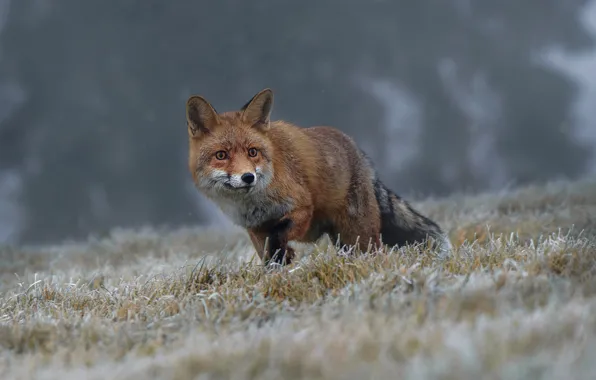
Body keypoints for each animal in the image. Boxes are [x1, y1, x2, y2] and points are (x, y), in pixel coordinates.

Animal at [186, 88, 452, 268]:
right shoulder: (254, 227)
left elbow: (279, 233)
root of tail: (360, 154)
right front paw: (278, 266)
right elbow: (267, 253)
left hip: (359, 236)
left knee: (377, 254)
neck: (255, 203)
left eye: (252, 152)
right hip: (345, 242)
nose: (248, 177)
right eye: (221, 155)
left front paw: (282, 254)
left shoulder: (302, 208)